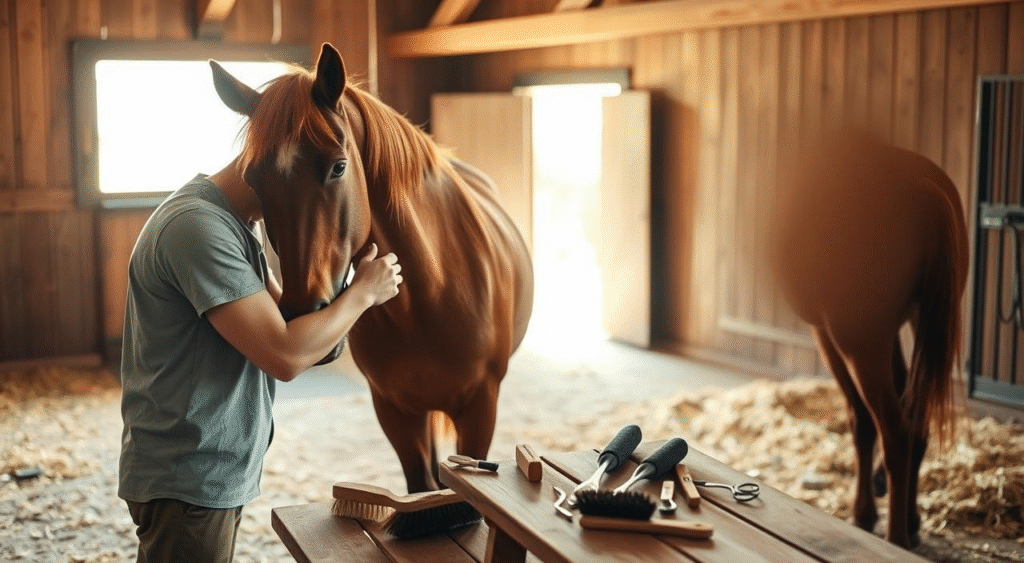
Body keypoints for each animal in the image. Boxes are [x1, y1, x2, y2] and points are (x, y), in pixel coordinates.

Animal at [210, 43, 534, 493]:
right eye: (252, 179)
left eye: (338, 167)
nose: (303, 313)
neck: (429, 297)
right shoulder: (395, 411)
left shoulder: (480, 409)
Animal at [768, 131, 969, 548]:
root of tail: (918, 186)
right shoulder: (888, 334)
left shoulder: (830, 336)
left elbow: (859, 420)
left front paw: (863, 512)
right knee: (916, 423)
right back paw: (907, 524)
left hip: (859, 344)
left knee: (896, 431)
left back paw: (896, 538)